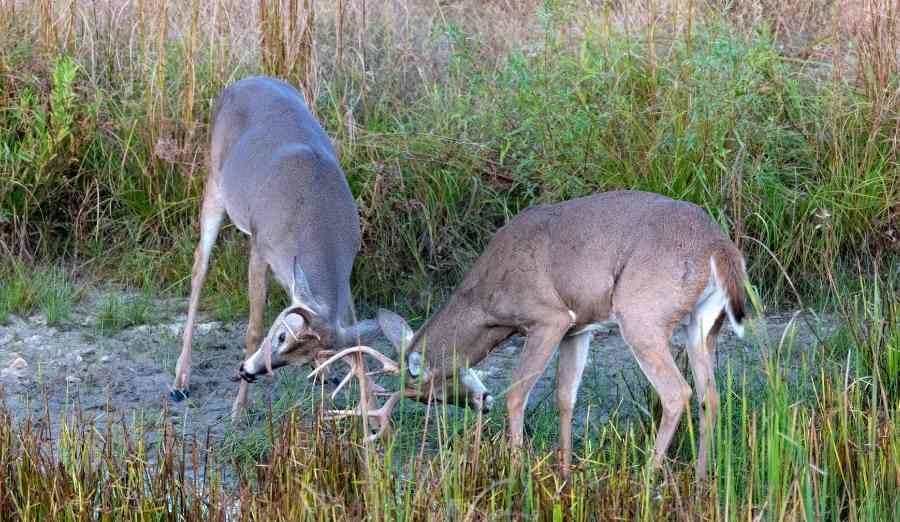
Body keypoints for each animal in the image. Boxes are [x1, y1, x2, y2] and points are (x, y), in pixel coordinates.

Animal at [172, 75, 380, 416]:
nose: (248, 371)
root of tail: (241, 82)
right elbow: (253, 328)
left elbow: (358, 343)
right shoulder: (260, 245)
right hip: (214, 183)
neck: (315, 214)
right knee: (199, 266)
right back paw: (180, 381)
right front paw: (238, 409)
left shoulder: (343, 271)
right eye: (281, 335)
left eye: (299, 358)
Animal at [312, 189, 748, 478]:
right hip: (701, 326)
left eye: (433, 393)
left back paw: (647, 479)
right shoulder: (578, 329)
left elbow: (518, 393)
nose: (479, 402)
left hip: (641, 316)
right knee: (709, 395)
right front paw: (565, 471)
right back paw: (701, 480)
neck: (486, 300)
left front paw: (518, 467)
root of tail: (719, 248)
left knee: (677, 393)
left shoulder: (548, 318)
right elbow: (564, 397)